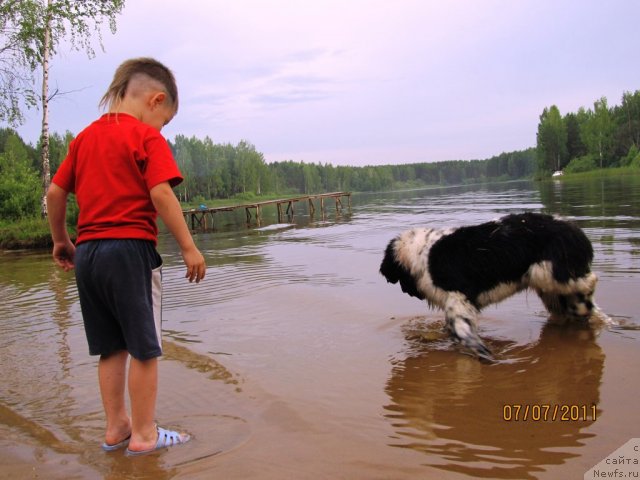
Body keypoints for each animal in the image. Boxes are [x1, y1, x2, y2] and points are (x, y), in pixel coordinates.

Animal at [380, 212, 608, 358]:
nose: (407, 292)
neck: (421, 253)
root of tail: (573, 228)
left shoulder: (458, 295)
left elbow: (460, 324)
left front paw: (478, 349)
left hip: (548, 271)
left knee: (589, 282)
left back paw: (586, 308)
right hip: (546, 284)